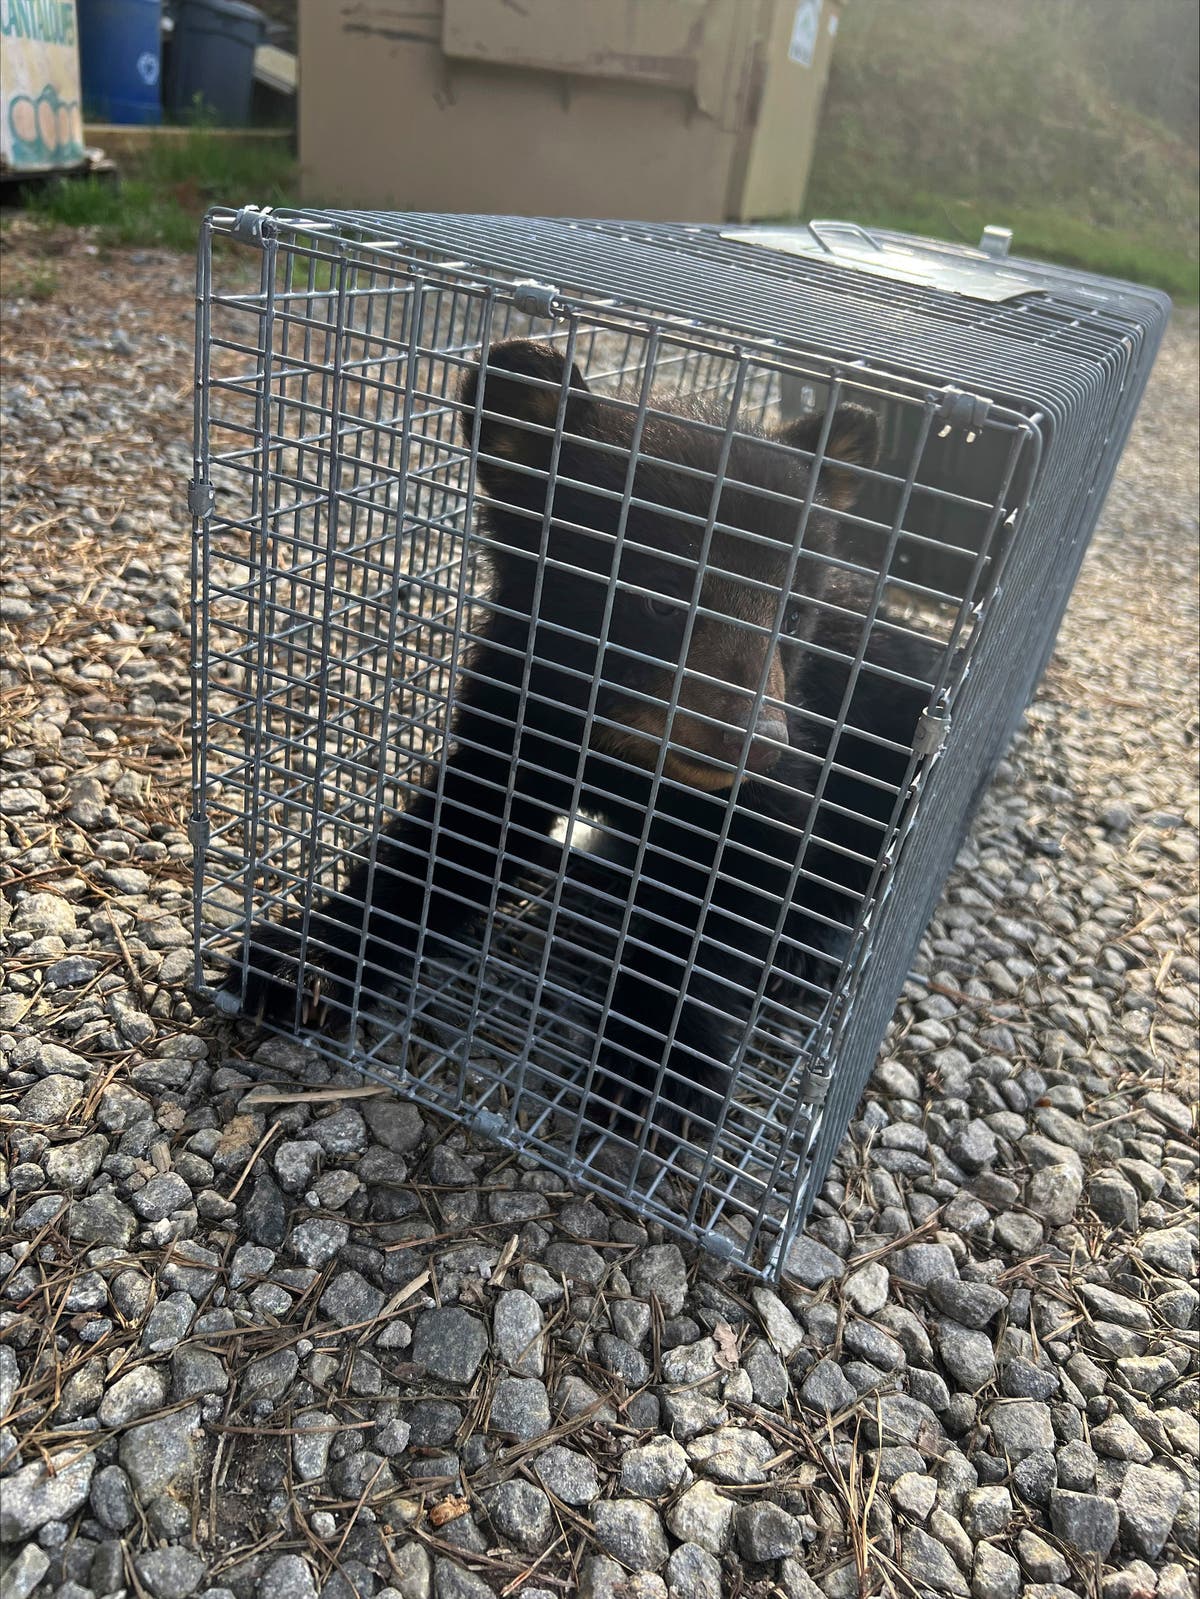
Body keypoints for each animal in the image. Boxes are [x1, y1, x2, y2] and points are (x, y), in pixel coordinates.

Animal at [220, 338, 938, 1133]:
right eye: (658, 598)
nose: (755, 741)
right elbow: (456, 834)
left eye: (794, 613)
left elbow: (736, 891)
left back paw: (812, 946)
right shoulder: (518, 708)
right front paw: (305, 958)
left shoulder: (782, 776)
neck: (626, 747)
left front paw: (657, 1063)